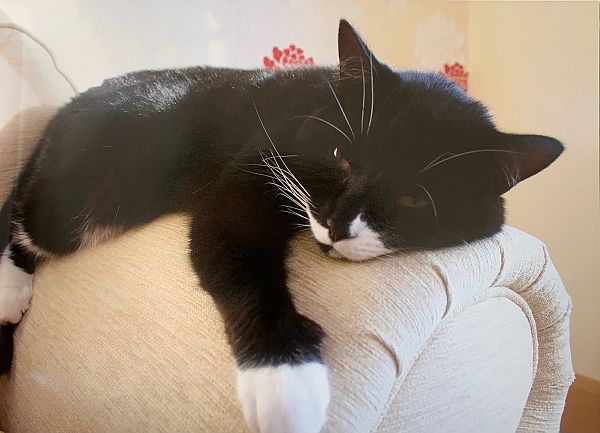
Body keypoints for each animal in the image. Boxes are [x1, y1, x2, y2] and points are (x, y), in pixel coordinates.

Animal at [1, 19, 564, 432]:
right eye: (340, 157)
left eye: (412, 199)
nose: (337, 225)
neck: (315, 104)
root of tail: (61, 113)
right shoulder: (250, 169)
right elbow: (235, 250)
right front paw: (286, 383)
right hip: (95, 181)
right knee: (30, 217)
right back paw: (12, 284)